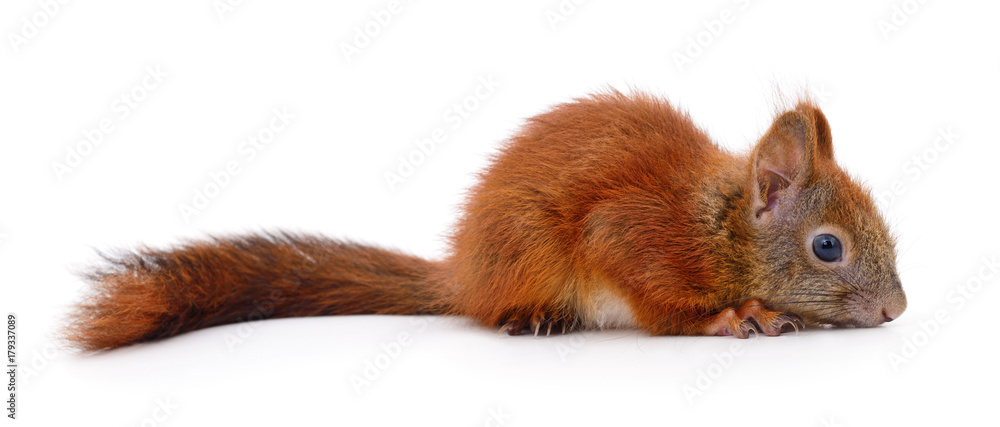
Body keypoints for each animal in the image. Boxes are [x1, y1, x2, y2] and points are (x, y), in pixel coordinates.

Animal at [65, 91, 907, 351]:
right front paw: (735, 315)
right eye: (826, 246)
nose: (897, 309)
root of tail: (464, 274)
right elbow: (663, 305)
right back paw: (532, 315)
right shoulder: (635, 237)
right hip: (528, 258)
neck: (718, 225)